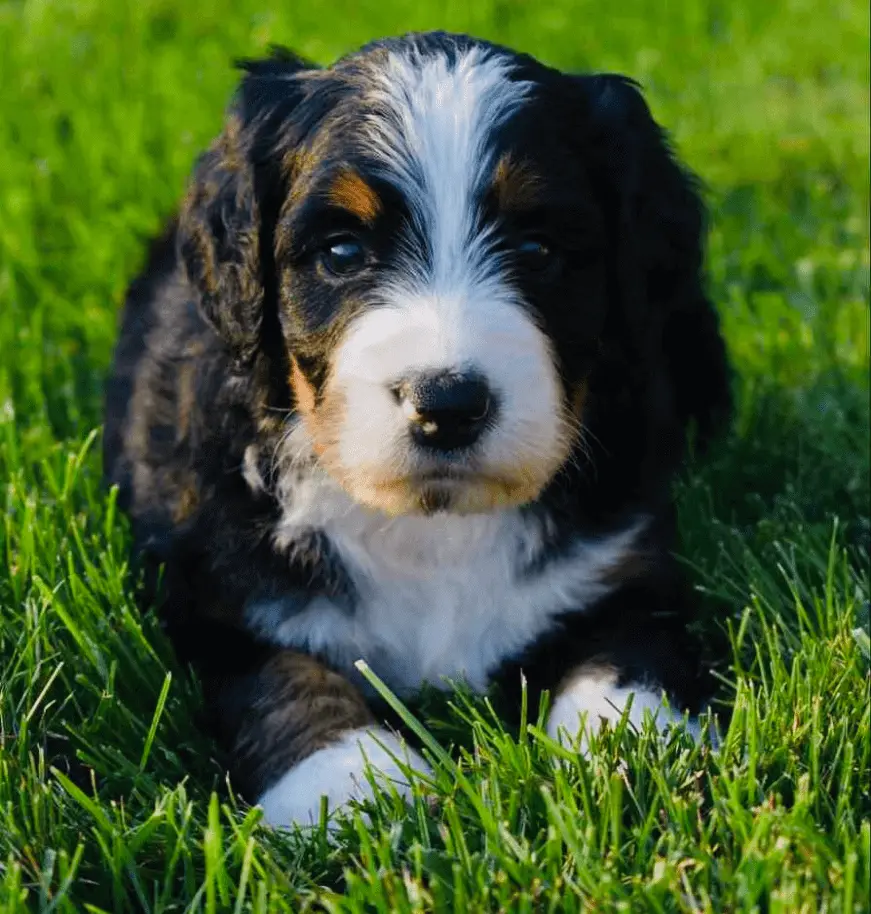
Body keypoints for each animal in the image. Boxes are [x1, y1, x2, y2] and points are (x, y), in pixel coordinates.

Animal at [104, 30, 736, 828]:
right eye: (342, 251)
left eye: (538, 251)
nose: (449, 403)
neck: (433, 526)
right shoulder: (221, 591)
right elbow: (287, 682)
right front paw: (351, 787)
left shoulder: (624, 563)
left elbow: (628, 657)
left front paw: (625, 751)